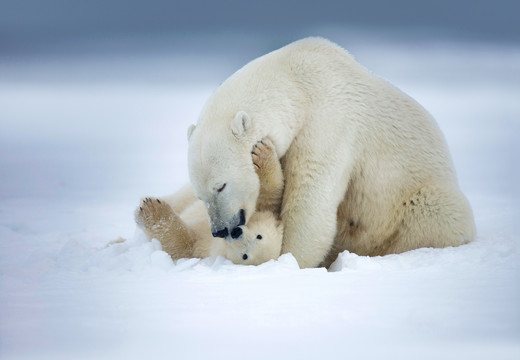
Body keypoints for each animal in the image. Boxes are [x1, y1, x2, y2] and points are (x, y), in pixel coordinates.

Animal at [183, 37, 476, 268]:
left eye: (221, 186)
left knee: (438, 212)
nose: (220, 230)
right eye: (200, 194)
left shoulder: (328, 123)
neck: (296, 83)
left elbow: (310, 200)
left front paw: (287, 260)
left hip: (417, 201)